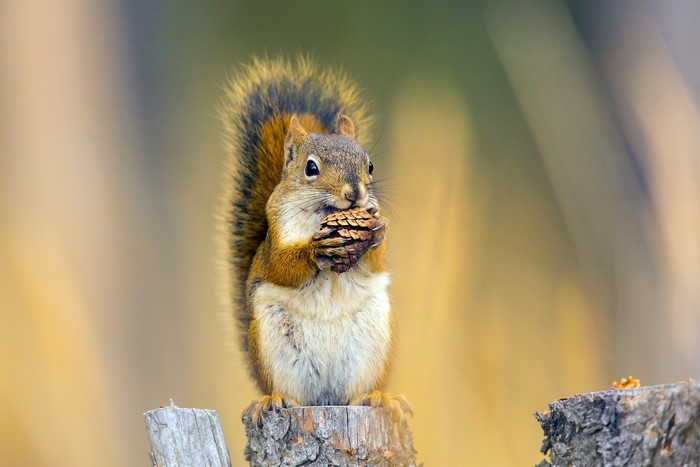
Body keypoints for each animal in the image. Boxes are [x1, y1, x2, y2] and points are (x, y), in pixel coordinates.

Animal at [219, 57, 410, 424]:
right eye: (311, 168)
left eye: (370, 165)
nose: (355, 193)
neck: (323, 213)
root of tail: (325, 399)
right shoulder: (275, 240)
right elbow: (282, 267)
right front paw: (313, 250)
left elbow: (375, 261)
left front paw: (378, 231)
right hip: (273, 346)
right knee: (286, 390)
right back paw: (274, 399)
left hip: (373, 343)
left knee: (358, 393)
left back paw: (378, 397)